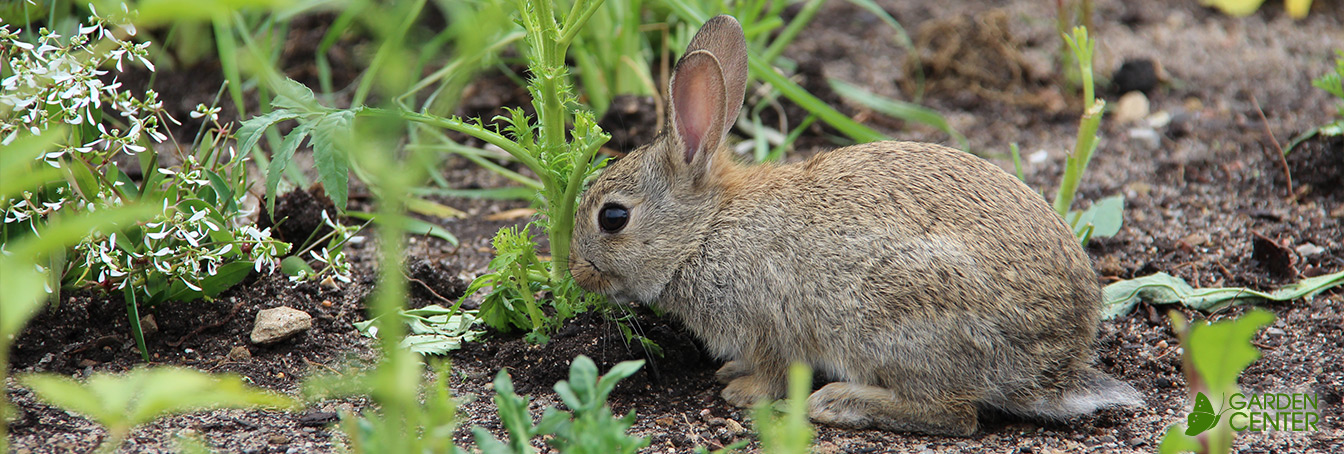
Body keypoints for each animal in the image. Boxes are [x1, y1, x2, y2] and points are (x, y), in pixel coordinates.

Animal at [561, 15, 1139, 435]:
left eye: (613, 217)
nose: (575, 271)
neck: (705, 230)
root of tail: (1053, 368)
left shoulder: (766, 322)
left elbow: (773, 372)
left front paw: (740, 392)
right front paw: (730, 373)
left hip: (895, 323)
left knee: (956, 414)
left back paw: (839, 402)